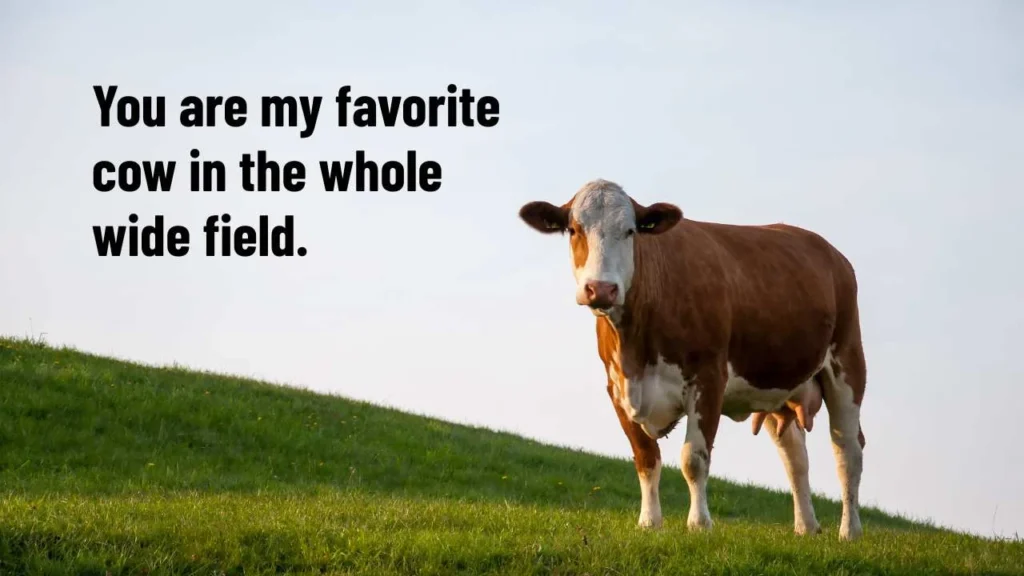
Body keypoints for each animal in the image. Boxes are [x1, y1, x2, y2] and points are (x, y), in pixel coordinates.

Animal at [518, 179, 867, 540]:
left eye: (630, 231)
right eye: (574, 230)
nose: (601, 289)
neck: (636, 349)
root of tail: (830, 251)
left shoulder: (708, 379)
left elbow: (693, 459)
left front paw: (699, 523)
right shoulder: (616, 388)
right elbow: (645, 457)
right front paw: (649, 521)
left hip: (847, 362)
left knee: (848, 450)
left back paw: (850, 531)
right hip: (775, 384)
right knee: (795, 456)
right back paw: (806, 527)